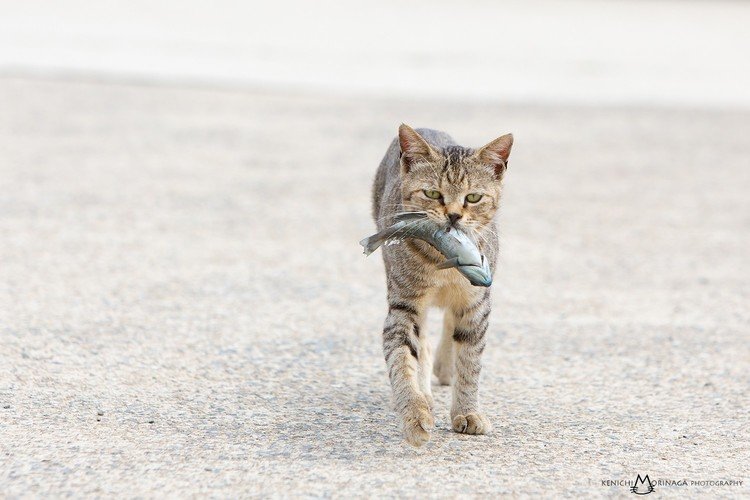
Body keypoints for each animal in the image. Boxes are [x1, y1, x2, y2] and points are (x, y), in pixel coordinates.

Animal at [372, 124, 516, 446]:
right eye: (432, 193)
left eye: (473, 197)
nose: (453, 214)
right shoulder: (404, 305)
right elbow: (402, 360)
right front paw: (414, 414)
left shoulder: (477, 303)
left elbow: (470, 362)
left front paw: (467, 411)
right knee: (423, 341)